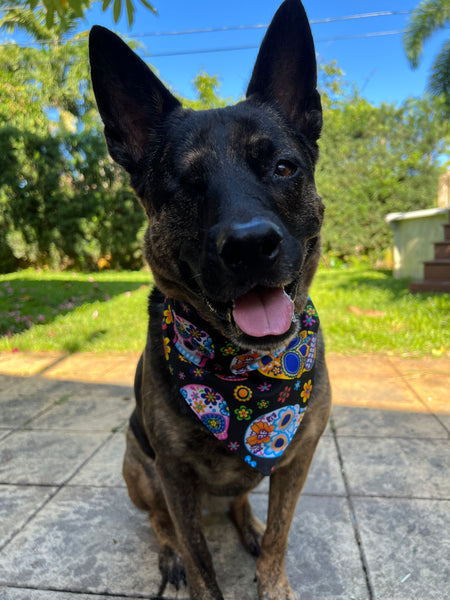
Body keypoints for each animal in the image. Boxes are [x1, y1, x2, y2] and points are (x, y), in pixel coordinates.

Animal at [89, 2, 332, 596]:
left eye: (283, 167)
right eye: (184, 185)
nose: (250, 246)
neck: (244, 378)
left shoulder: (297, 460)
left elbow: (280, 539)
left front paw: (272, 574)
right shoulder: (173, 473)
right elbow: (201, 562)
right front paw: (192, 564)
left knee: (241, 502)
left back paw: (249, 527)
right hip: (137, 467)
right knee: (162, 523)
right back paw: (170, 553)